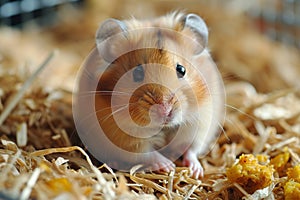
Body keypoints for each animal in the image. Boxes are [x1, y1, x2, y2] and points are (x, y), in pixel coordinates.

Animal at [73, 12, 225, 178]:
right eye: (137, 73)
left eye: (181, 69)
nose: (165, 110)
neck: (163, 127)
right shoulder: (125, 140)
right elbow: (148, 154)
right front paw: (169, 166)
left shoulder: (201, 123)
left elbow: (191, 149)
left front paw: (196, 172)